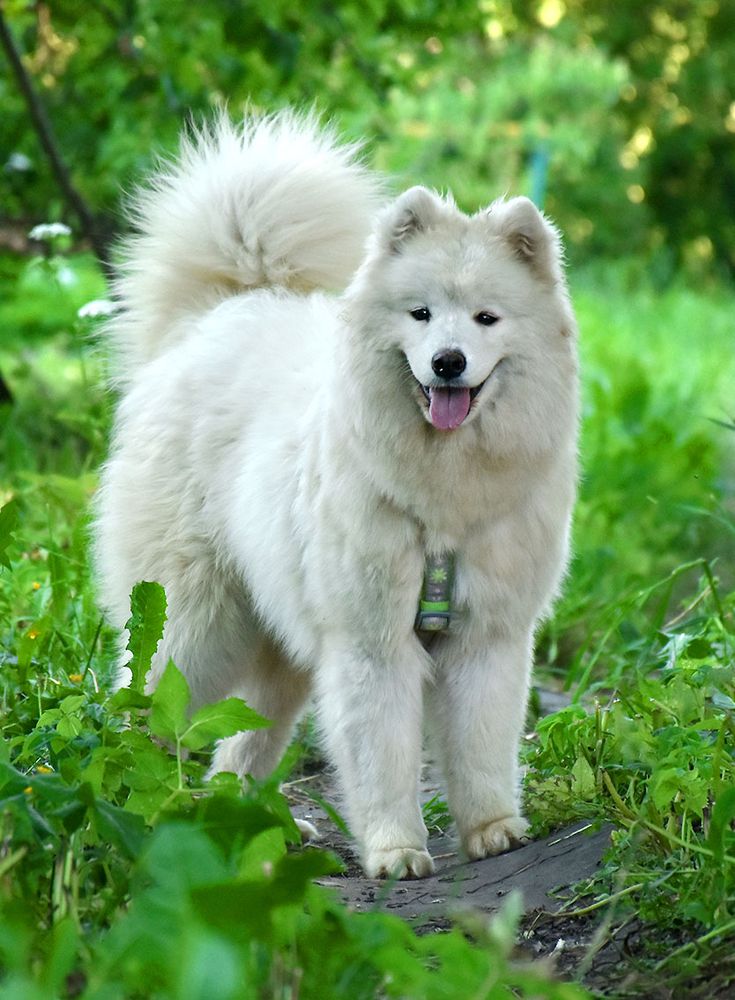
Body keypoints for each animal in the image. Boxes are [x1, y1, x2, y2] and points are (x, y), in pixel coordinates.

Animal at [95, 113, 580, 880]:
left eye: (485, 318)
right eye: (420, 314)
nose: (447, 362)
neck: (443, 498)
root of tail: (219, 314)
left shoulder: (488, 637)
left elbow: (481, 743)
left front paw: (492, 829)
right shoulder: (370, 643)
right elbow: (382, 755)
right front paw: (395, 849)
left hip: (279, 647)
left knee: (241, 743)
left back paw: (245, 825)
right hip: (194, 626)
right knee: (147, 710)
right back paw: (128, 802)